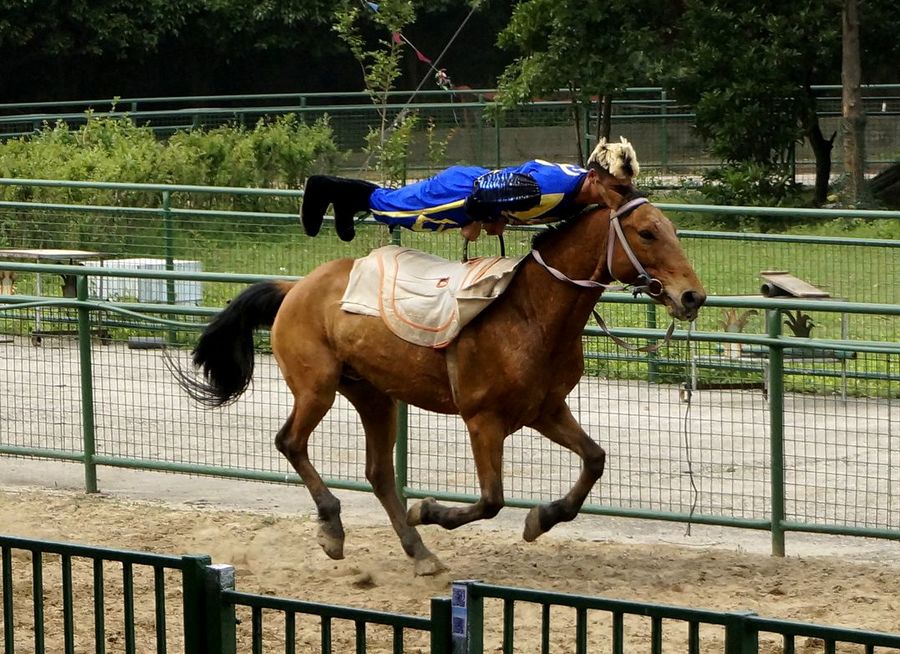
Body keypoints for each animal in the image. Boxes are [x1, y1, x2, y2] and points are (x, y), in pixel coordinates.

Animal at [172, 184, 708, 576]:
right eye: (647, 233)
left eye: (670, 229)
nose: (693, 296)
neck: (530, 314)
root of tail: (296, 287)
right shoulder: (483, 422)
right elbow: (491, 500)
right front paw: (432, 511)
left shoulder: (546, 410)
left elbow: (595, 460)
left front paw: (542, 518)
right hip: (317, 389)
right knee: (290, 442)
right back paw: (334, 529)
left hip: (374, 396)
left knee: (379, 473)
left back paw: (419, 553)